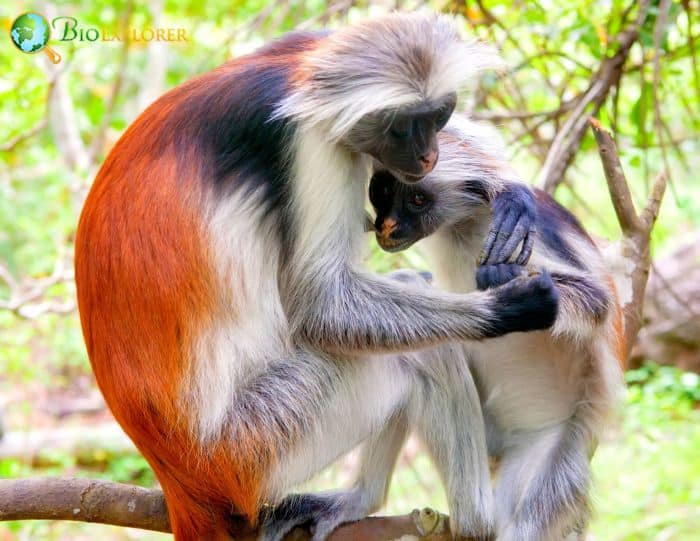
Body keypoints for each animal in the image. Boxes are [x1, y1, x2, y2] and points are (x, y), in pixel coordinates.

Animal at [75, 13, 556, 540]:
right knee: (420, 353)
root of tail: (179, 478)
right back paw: (474, 521)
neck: (295, 82)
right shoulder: (309, 143)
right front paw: (508, 307)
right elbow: (320, 306)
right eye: (403, 127)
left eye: (438, 117)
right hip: (259, 443)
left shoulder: (309, 57)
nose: (428, 156)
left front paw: (502, 181)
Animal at [370, 118, 628, 540]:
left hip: (550, 448)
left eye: (418, 200)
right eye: (383, 191)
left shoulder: (528, 239)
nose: (387, 227)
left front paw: (509, 281)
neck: (463, 223)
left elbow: (598, 301)